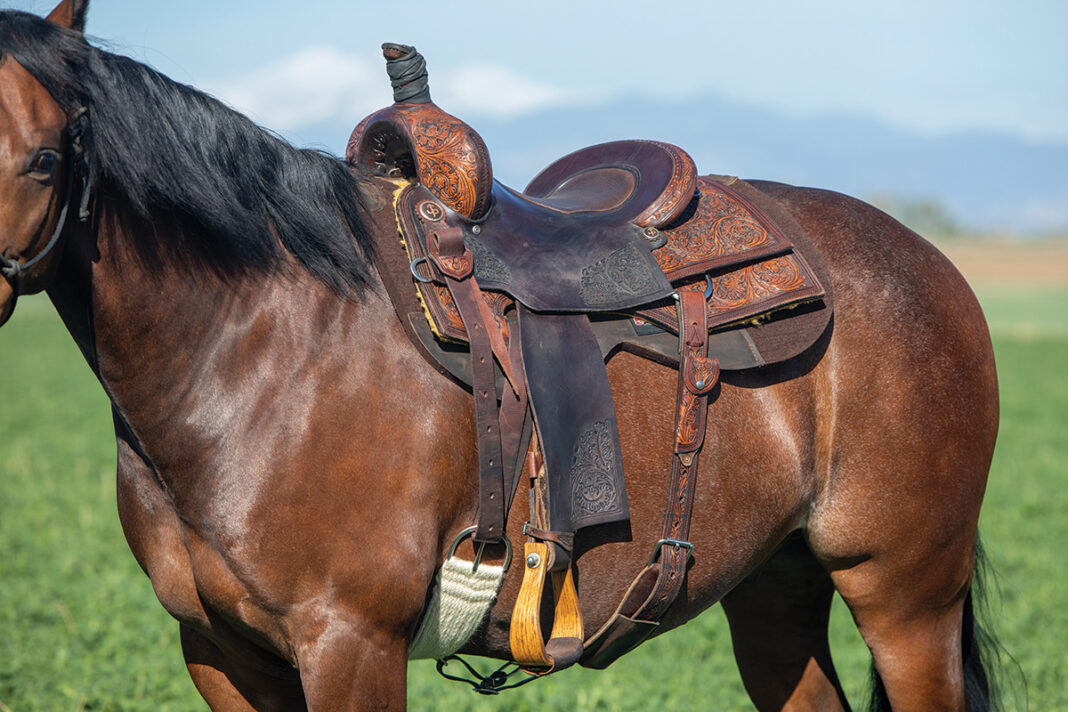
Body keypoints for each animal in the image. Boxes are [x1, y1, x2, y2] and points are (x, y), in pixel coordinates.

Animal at [0, 2, 1002, 710]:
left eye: (45, 160)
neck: (256, 352)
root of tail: (929, 260)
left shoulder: (349, 644)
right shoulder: (217, 650)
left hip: (905, 597)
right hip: (774, 585)